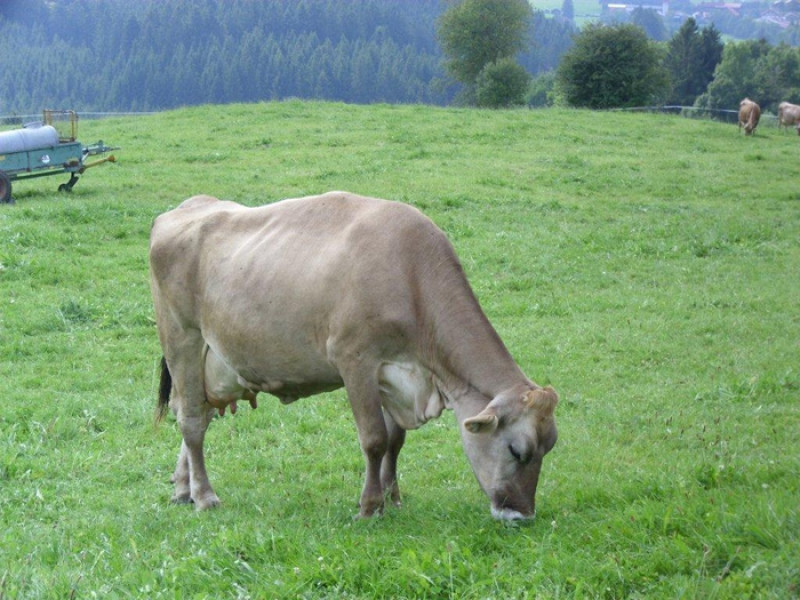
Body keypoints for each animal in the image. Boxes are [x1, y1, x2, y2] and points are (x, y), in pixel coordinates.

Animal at [152, 192, 564, 520]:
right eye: (517, 450)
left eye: (550, 447)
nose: (522, 514)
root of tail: (186, 207)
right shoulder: (356, 360)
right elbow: (374, 438)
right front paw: (369, 506)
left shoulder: (392, 373)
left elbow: (395, 439)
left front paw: (392, 496)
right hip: (182, 339)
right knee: (191, 421)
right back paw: (205, 496)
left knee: (193, 411)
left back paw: (183, 489)